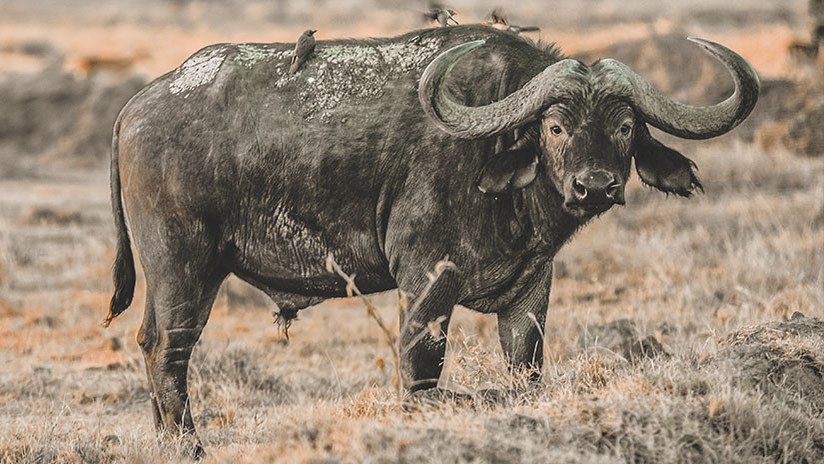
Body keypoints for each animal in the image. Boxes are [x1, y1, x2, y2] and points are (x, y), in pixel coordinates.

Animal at [104, 25, 759, 454]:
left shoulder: (531, 292)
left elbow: (526, 372)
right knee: (168, 351)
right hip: (185, 268)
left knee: (148, 343)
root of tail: (137, 105)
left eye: (625, 127)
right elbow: (422, 373)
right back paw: (189, 446)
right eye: (555, 126)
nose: (594, 185)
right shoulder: (425, 283)